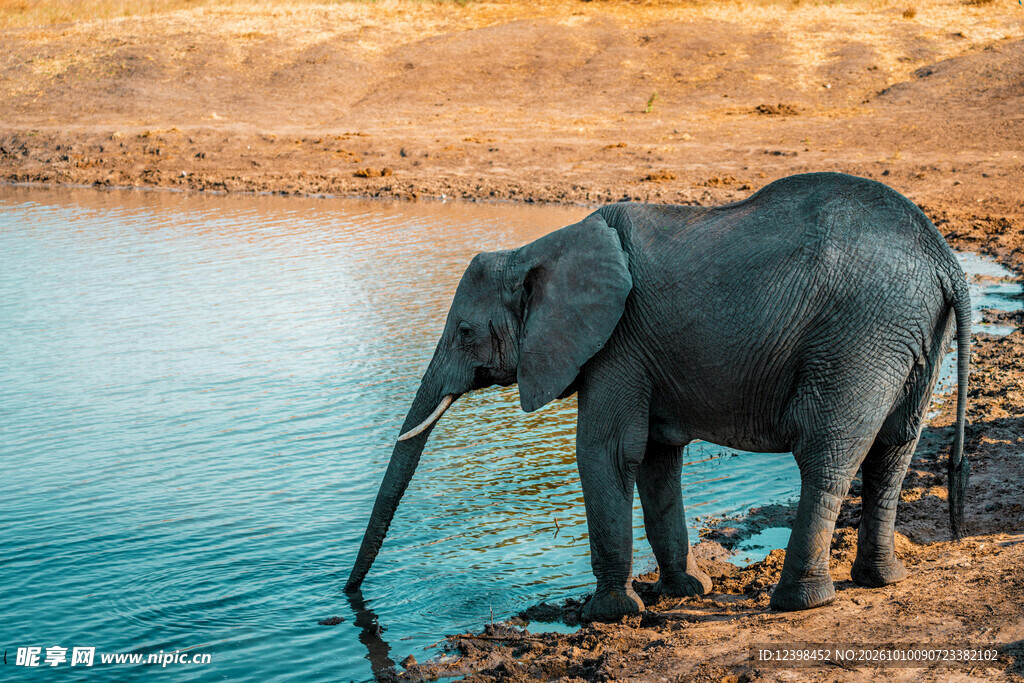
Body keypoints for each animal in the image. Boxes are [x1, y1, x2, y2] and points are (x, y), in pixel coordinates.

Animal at [345, 172, 970, 621]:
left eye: (465, 332)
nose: (350, 596)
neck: (537, 250)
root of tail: (945, 260)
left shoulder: (616, 343)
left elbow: (603, 452)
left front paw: (607, 616)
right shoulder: (640, 351)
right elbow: (654, 458)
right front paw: (685, 591)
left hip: (859, 337)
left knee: (827, 455)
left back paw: (797, 604)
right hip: (909, 335)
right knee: (892, 451)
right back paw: (880, 581)